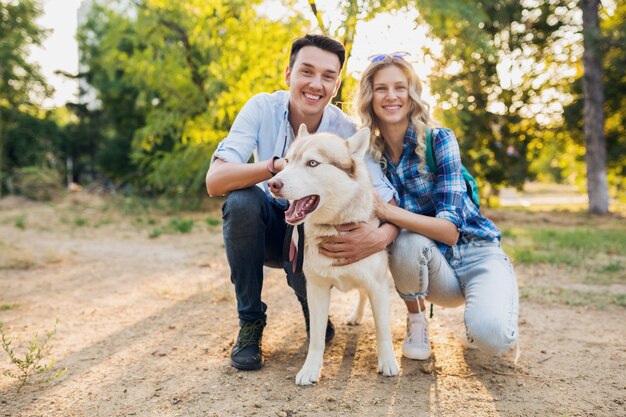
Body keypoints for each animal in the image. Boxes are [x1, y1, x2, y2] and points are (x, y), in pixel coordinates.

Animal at [266, 125, 398, 386]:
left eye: (312, 163)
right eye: (287, 161)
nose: (272, 184)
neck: (334, 226)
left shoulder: (378, 284)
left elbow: (383, 329)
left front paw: (388, 361)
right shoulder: (316, 289)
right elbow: (316, 337)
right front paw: (310, 369)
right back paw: (356, 316)